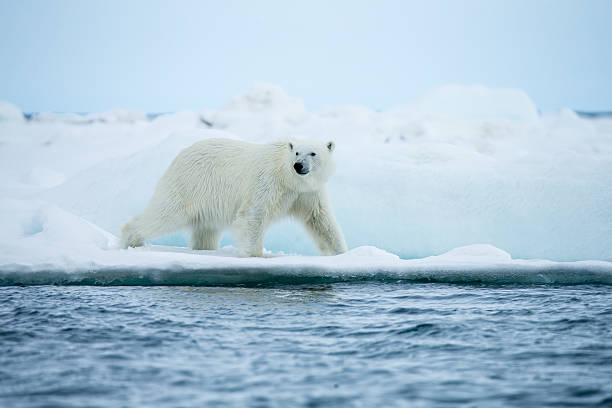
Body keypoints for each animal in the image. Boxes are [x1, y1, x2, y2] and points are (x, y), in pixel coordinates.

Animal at [120, 139, 350, 256]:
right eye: (296, 153)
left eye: (313, 153)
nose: (299, 166)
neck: (288, 177)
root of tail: (179, 155)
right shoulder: (267, 182)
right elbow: (253, 216)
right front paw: (255, 255)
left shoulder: (307, 193)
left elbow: (320, 220)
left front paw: (342, 253)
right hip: (189, 185)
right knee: (165, 213)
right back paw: (130, 240)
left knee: (206, 231)